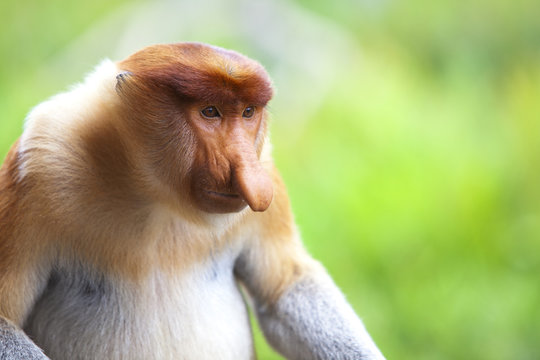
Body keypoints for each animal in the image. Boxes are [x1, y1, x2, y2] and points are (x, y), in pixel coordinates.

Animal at [1, 43, 384, 360]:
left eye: (248, 112)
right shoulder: (40, 165)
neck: (153, 193)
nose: (248, 175)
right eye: (210, 111)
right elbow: (4, 319)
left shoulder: (265, 167)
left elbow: (285, 287)